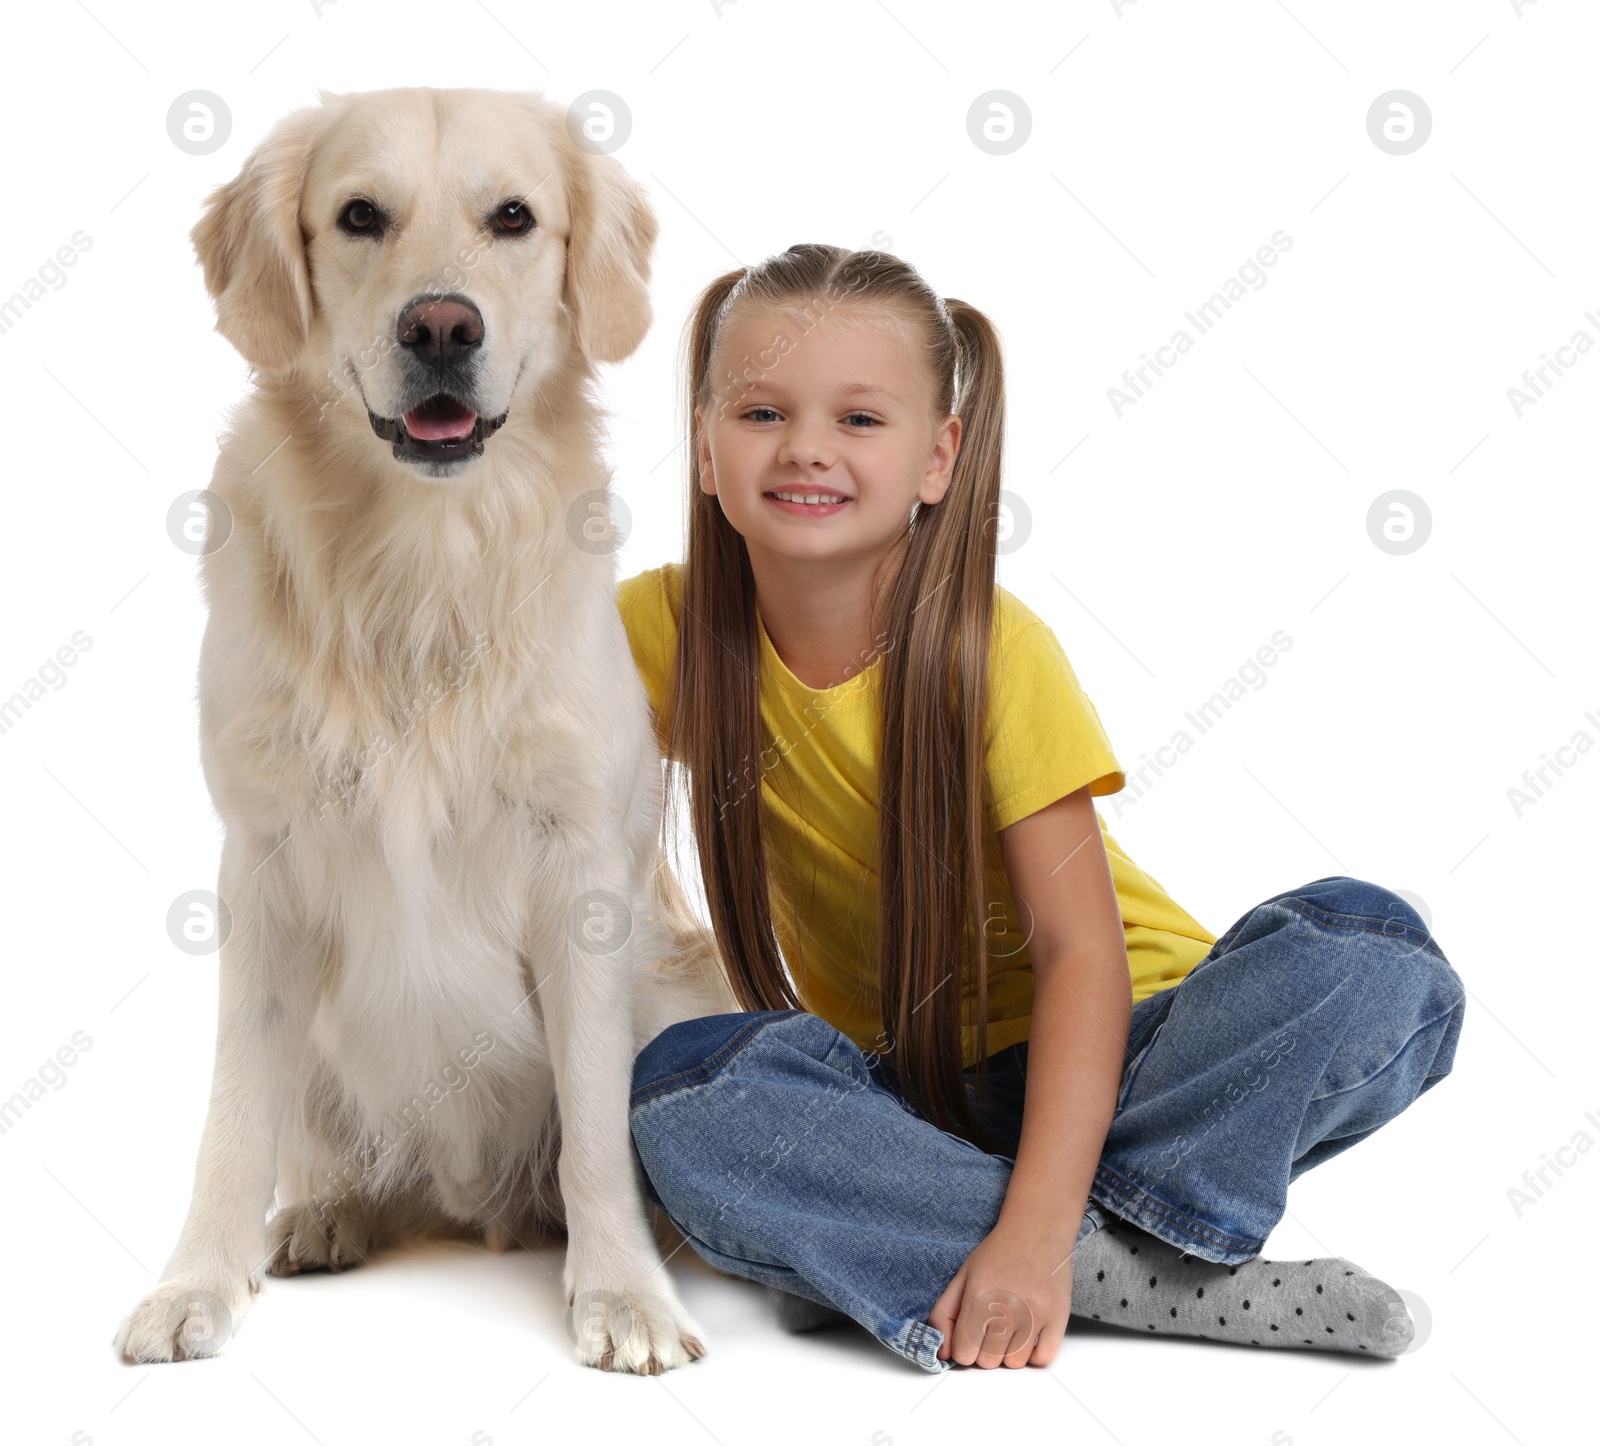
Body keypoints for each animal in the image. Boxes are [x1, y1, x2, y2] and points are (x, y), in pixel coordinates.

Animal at [112, 90, 736, 1375]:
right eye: (359, 216)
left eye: (514, 219)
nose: (441, 325)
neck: (420, 561)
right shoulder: (263, 866)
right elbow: (234, 1115)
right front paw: (197, 1280)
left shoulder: (577, 869)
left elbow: (594, 1125)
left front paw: (622, 1294)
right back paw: (326, 1213)